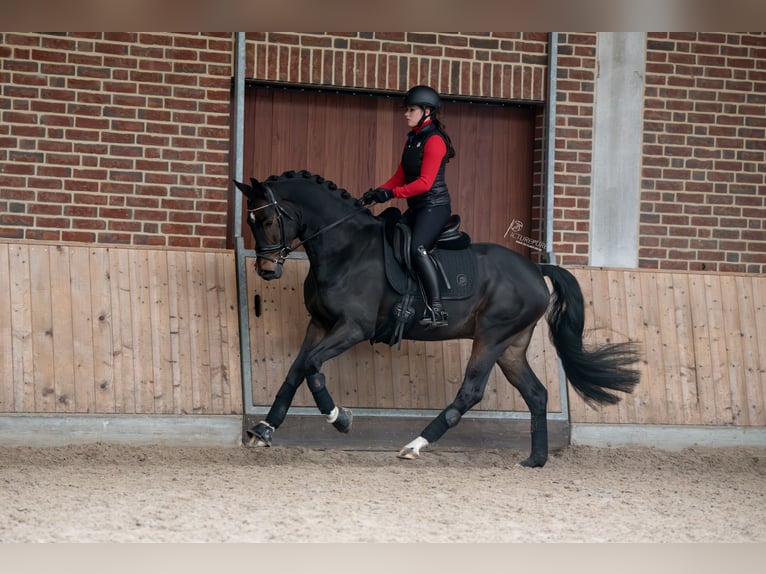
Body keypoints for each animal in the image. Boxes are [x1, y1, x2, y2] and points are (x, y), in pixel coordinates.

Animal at [236, 170, 640, 468]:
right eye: (250, 221)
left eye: (268, 219)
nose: (267, 270)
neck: (346, 249)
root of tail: (535, 269)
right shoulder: (319, 323)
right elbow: (296, 370)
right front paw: (265, 428)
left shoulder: (353, 327)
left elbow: (313, 366)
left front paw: (340, 418)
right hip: (511, 346)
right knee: (537, 393)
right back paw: (535, 460)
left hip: (491, 337)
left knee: (471, 391)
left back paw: (415, 444)